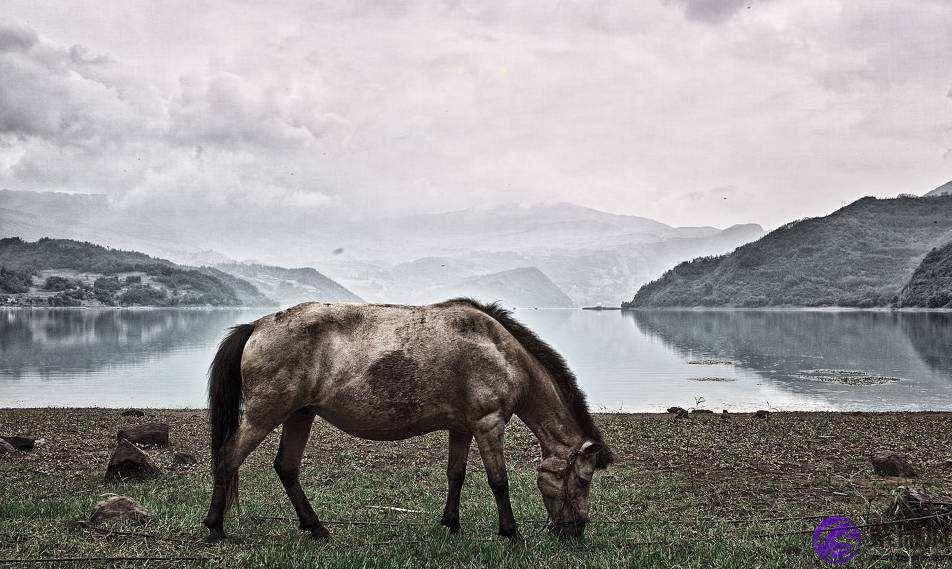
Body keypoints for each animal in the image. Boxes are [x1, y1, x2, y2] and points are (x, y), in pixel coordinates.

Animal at [204, 298, 612, 540]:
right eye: (583, 479)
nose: (577, 529)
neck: (500, 351)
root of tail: (255, 326)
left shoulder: (462, 427)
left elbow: (456, 475)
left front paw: (450, 523)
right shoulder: (488, 423)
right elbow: (499, 481)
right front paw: (510, 532)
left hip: (299, 415)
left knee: (286, 468)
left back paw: (315, 527)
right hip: (264, 415)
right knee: (227, 459)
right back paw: (215, 527)